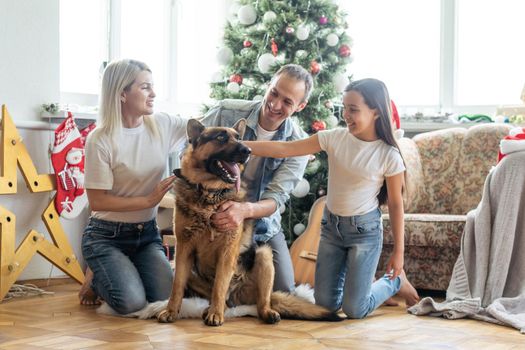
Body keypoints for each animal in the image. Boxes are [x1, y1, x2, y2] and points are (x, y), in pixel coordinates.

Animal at [158, 119, 342, 326]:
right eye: (220, 137)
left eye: (239, 138)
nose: (248, 150)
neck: (210, 195)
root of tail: (238, 298)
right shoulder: (183, 250)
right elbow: (177, 286)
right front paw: (171, 311)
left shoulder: (227, 251)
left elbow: (220, 285)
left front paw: (215, 314)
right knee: (222, 300)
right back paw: (211, 309)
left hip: (264, 255)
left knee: (260, 301)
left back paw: (259, 312)